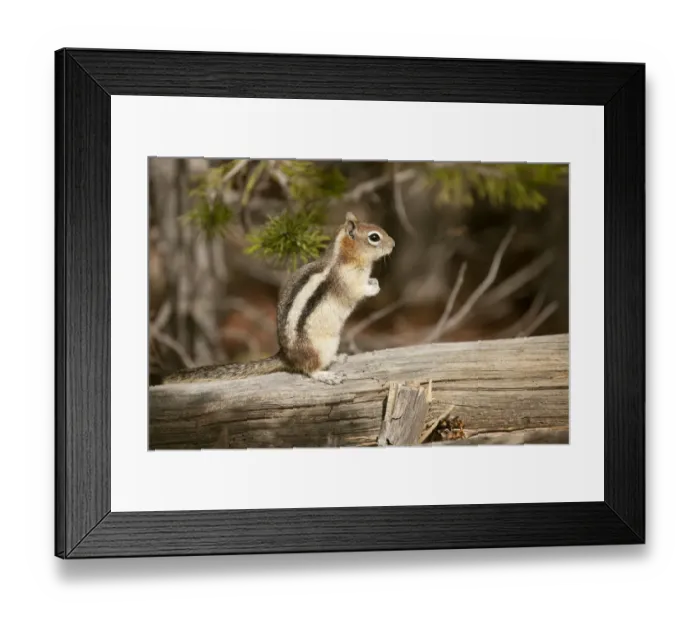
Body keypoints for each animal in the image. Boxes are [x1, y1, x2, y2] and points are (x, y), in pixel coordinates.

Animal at [161, 212, 395, 386]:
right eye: (374, 237)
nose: (393, 244)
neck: (345, 257)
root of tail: (285, 356)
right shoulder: (347, 282)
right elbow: (358, 292)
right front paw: (374, 286)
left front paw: (374, 281)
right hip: (320, 347)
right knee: (308, 369)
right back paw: (325, 375)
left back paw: (337, 358)